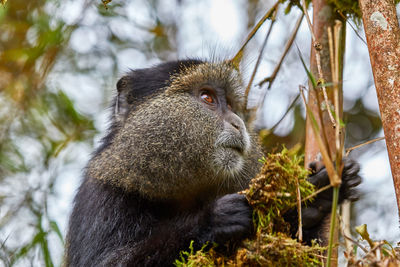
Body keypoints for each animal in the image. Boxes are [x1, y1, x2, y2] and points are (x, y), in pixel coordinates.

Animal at [64, 59, 360, 266]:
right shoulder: (103, 196)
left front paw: (314, 200)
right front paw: (213, 220)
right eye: (207, 97)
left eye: (231, 104)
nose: (238, 123)